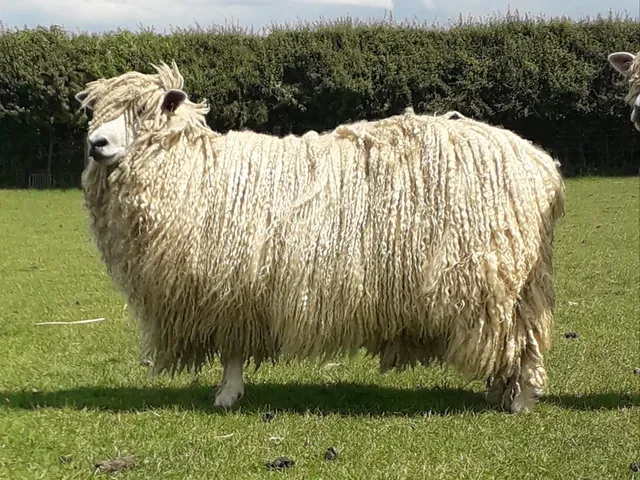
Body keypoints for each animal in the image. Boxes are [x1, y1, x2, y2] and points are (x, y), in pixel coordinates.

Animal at [75, 62, 565, 413]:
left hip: (497, 278)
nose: (97, 144)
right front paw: (230, 392)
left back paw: (522, 400)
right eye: (94, 111)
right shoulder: (237, 289)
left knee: (522, 338)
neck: (197, 171)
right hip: (516, 280)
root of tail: (539, 163)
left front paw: (227, 395)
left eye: (145, 113)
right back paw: (502, 392)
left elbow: (232, 348)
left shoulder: (230, 286)